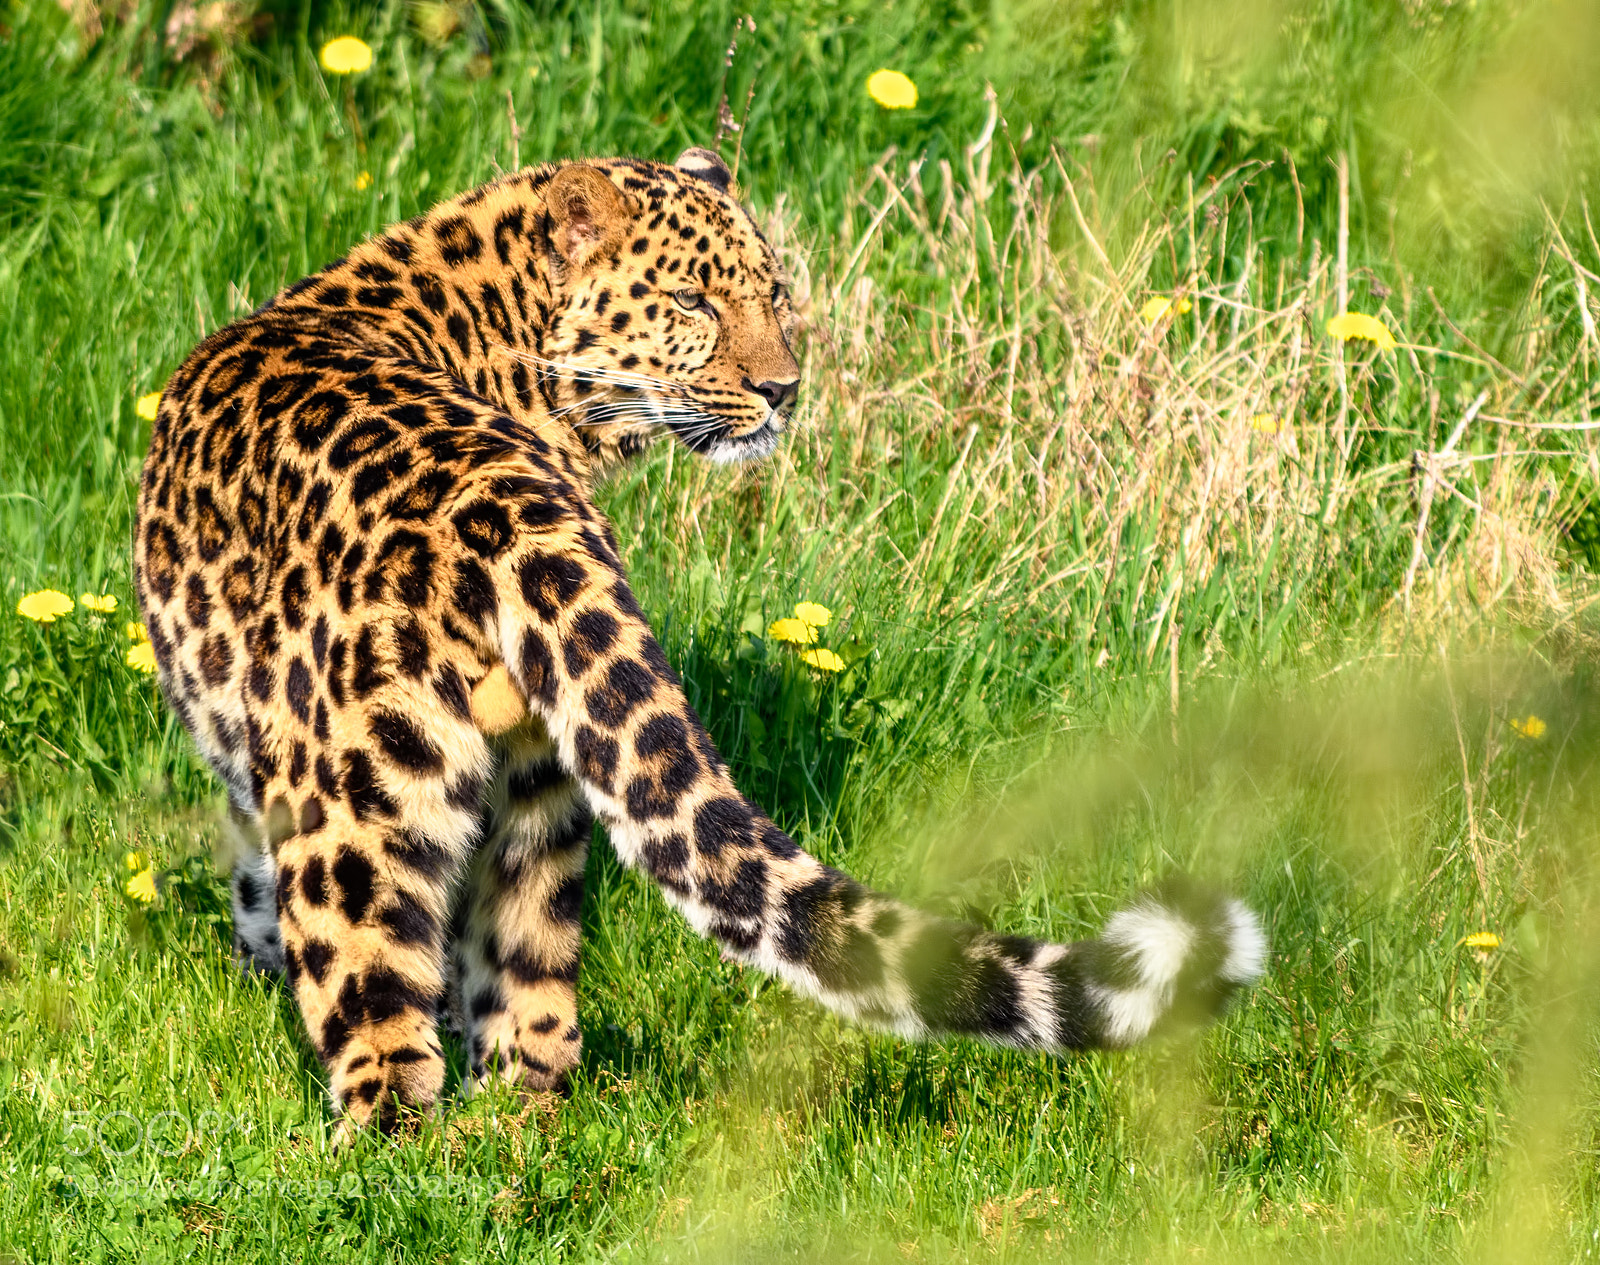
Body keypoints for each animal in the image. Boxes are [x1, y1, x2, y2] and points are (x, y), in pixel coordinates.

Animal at [133, 146, 1267, 1135]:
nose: (783, 387)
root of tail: (504, 504)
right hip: (539, 782)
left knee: (379, 1013)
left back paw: (379, 1163)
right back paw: (516, 1127)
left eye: (774, 291)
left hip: (357, 789)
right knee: (534, 991)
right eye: (693, 303)